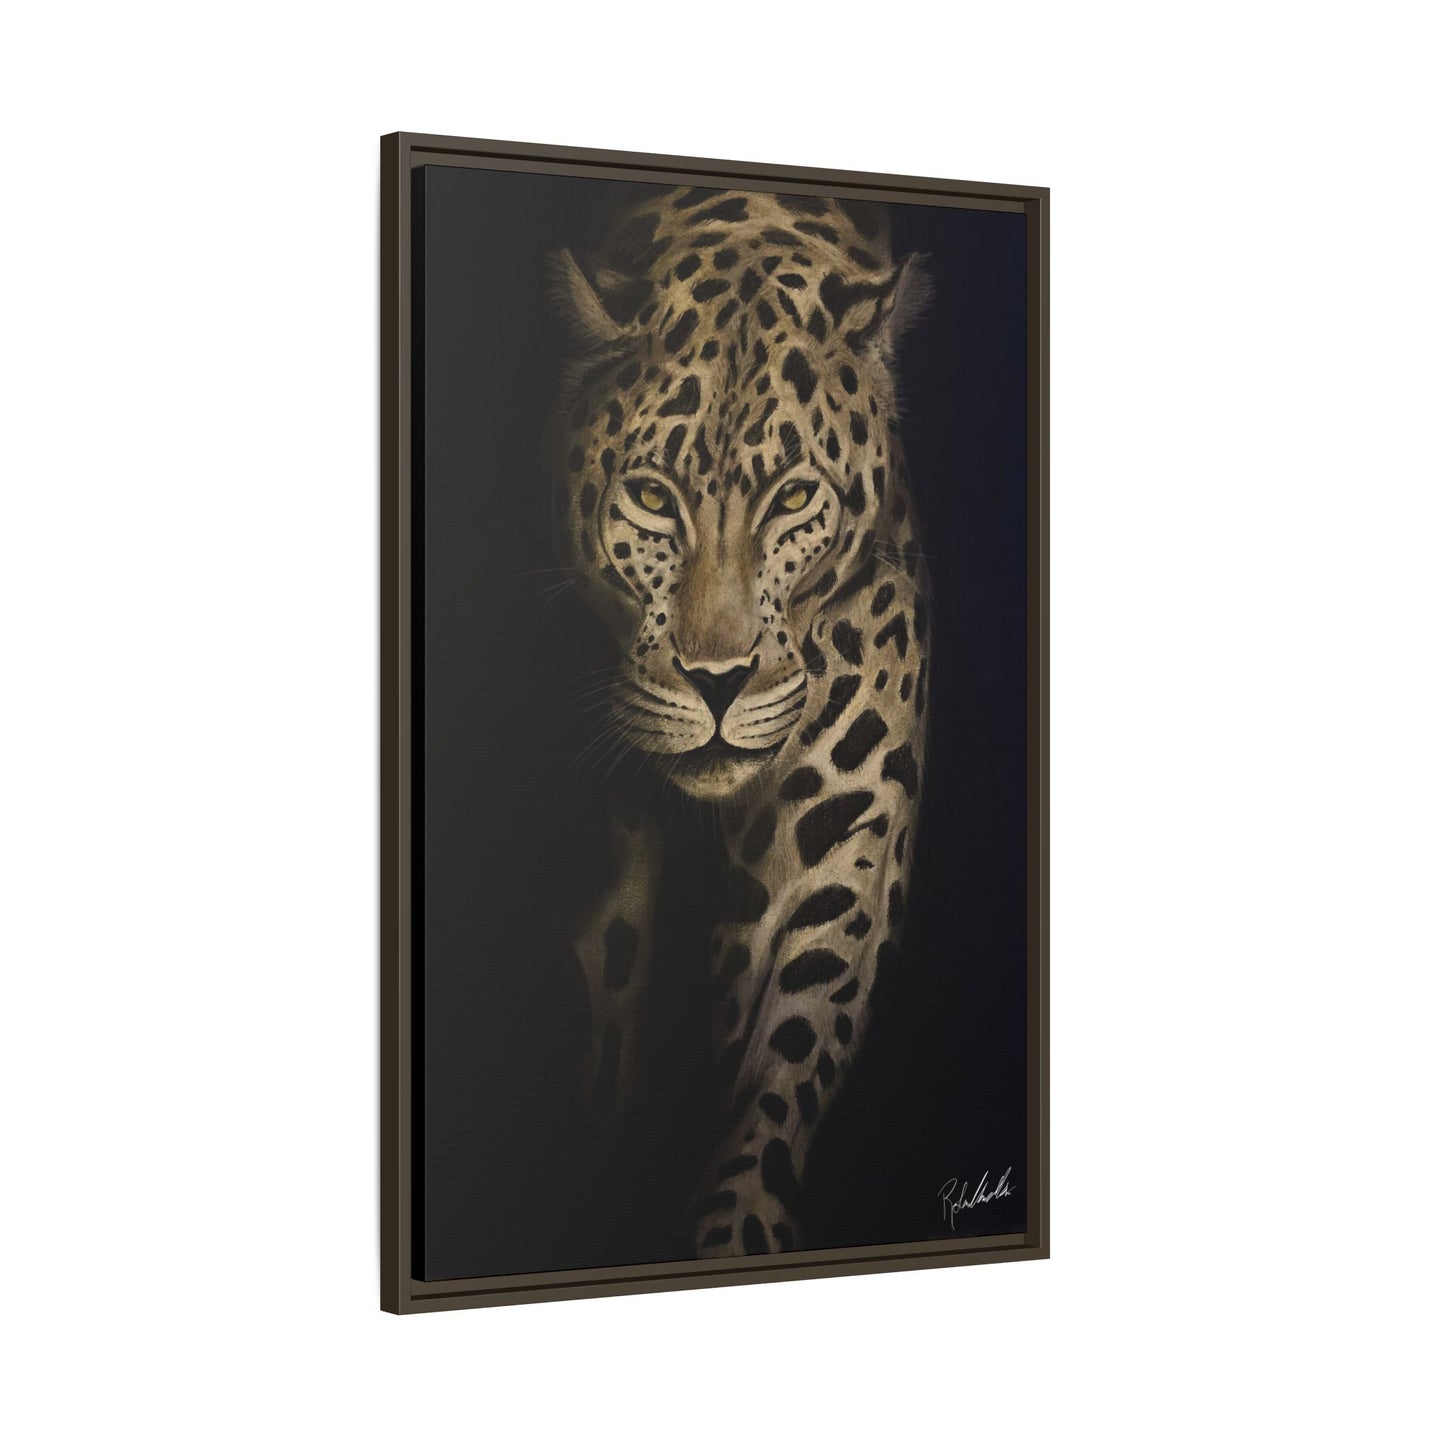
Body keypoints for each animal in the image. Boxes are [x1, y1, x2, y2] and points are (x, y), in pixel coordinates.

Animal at [548, 183, 932, 1259]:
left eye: (794, 496)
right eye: (649, 495)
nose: (715, 681)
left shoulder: (833, 832)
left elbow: (788, 1042)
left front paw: (735, 1226)